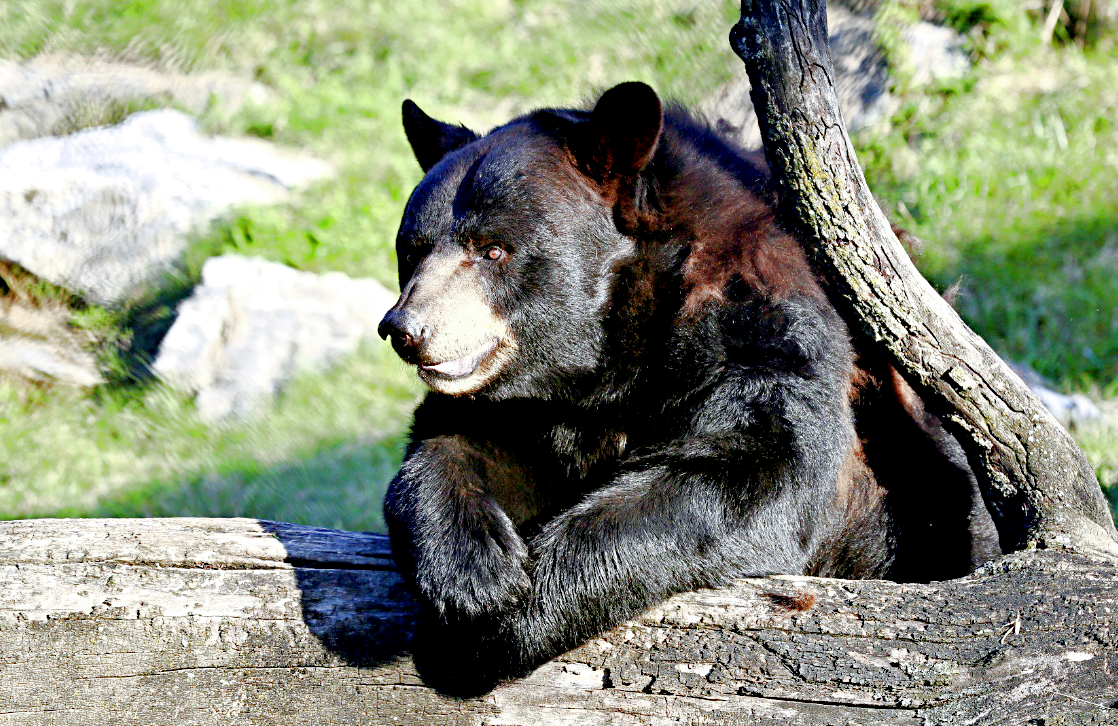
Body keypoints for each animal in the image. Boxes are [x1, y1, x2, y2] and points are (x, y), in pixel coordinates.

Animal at [380, 80, 1001, 689]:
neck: (616, 359)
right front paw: (473, 576)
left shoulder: (763, 332)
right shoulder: (532, 403)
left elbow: (757, 468)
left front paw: (499, 626)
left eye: (493, 249)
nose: (405, 329)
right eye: (412, 250)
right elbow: (459, 442)